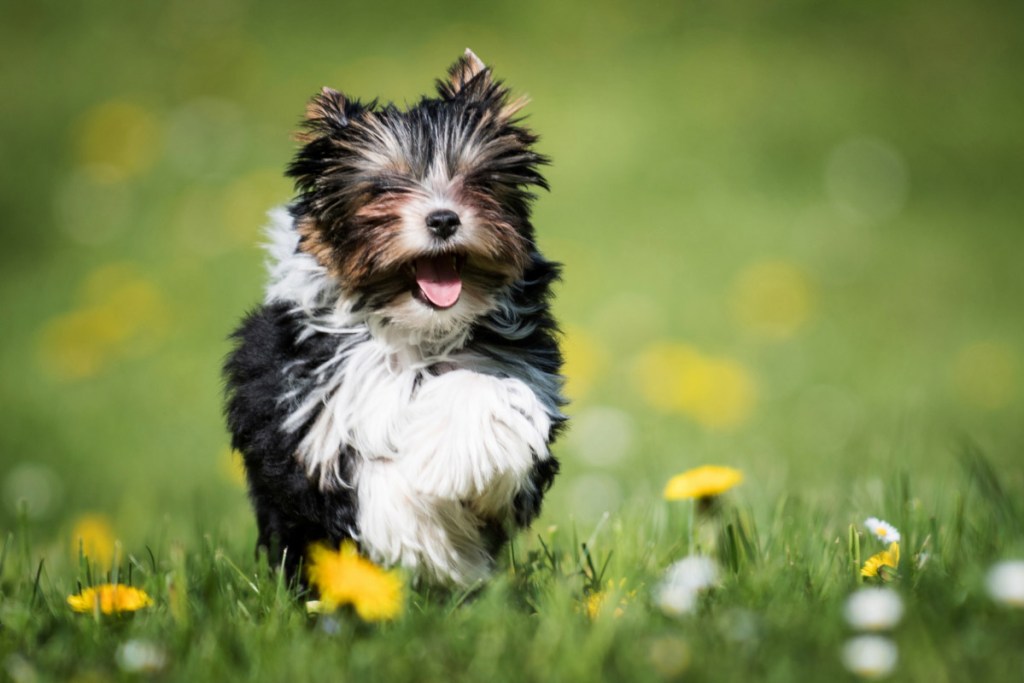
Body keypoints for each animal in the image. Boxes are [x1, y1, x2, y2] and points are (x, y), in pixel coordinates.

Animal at [223, 49, 569, 589]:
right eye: (383, 187)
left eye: (479, 180)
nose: (444, 219)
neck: (417, 332)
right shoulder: (306, 414)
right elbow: (371, 483)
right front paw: (424, 537)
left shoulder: (521, 369)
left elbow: (483, 397)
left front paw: (450, 461)